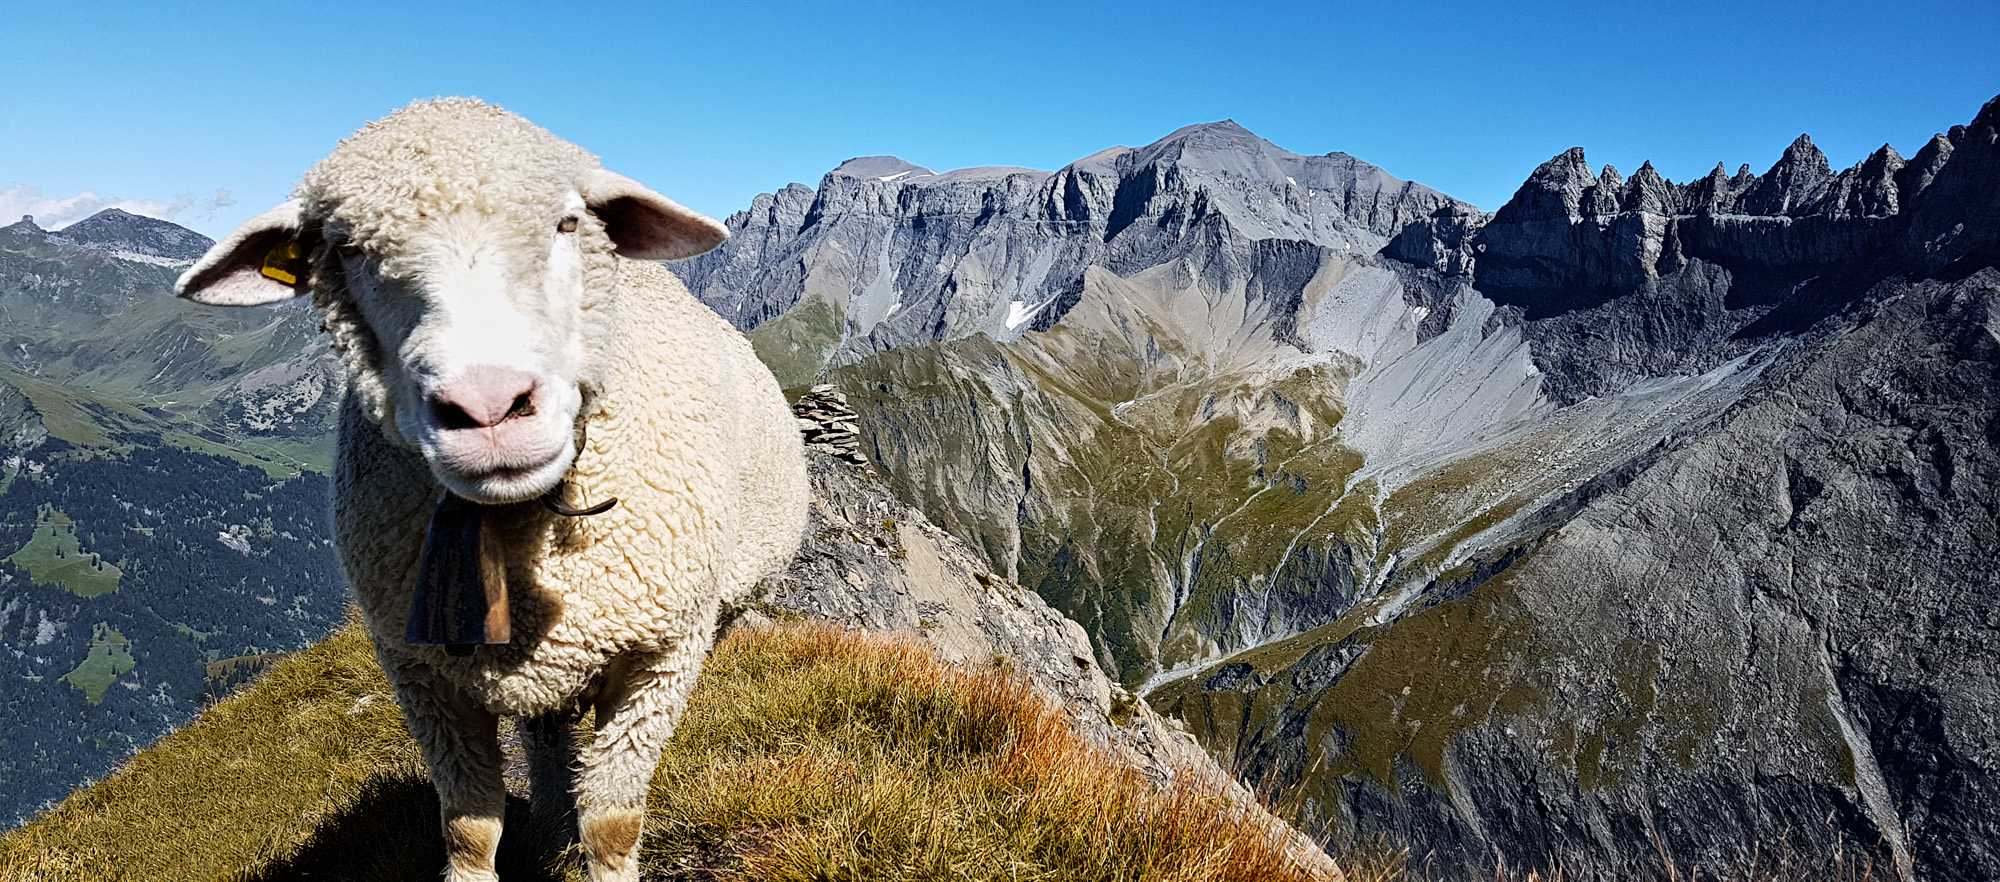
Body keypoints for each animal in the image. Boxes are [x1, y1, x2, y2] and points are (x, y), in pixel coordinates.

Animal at [174, 98, 812, 880]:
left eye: (567, 223)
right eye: (347, 250)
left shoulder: (660, 659)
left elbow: (614, 822)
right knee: (546, 733)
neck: (517, 523)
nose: (487, 408)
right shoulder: (420, 672)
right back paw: (551, 819)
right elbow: (468, 828)